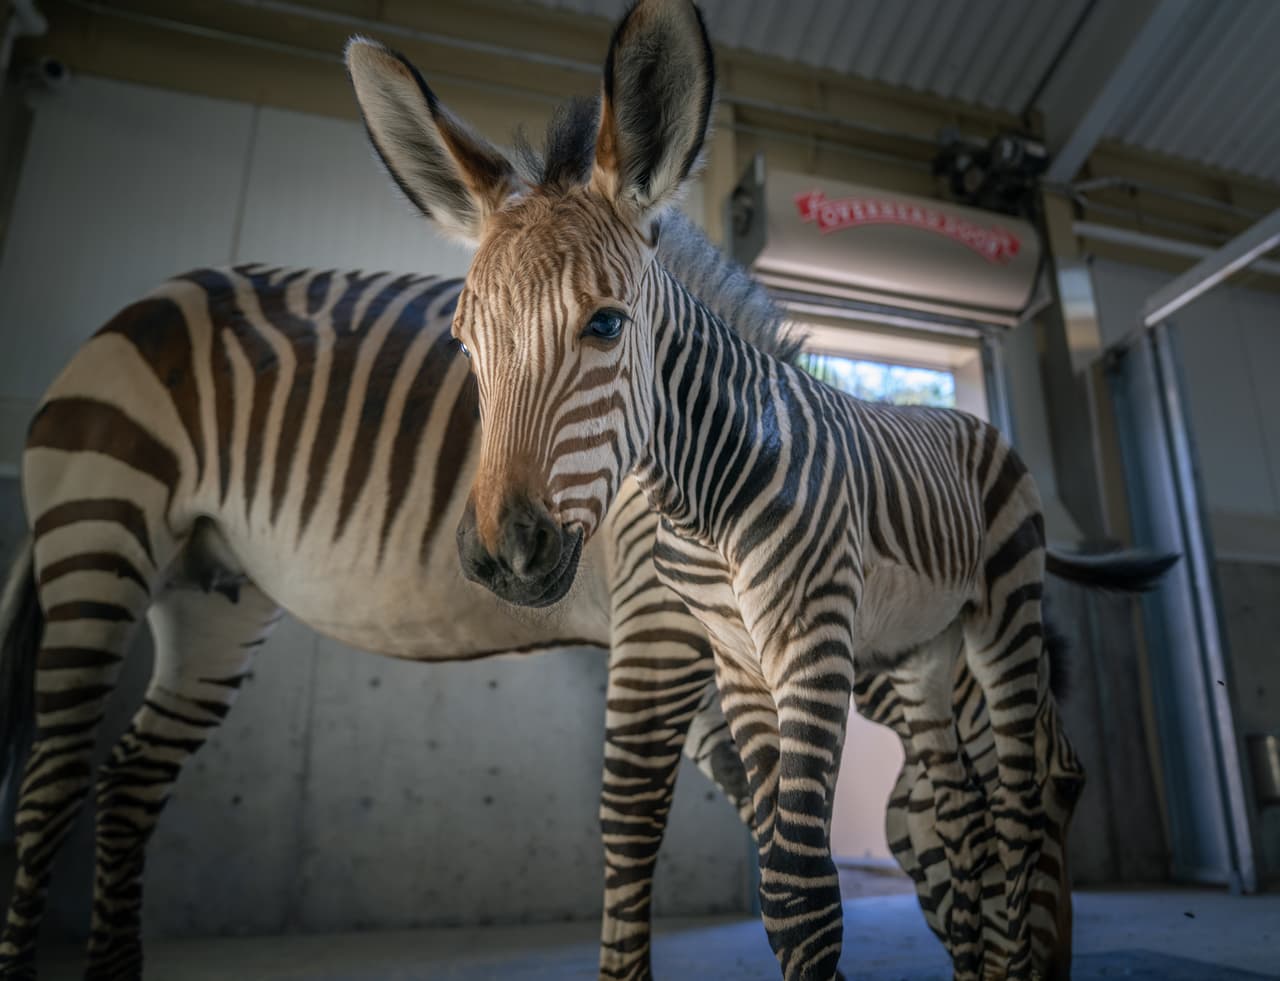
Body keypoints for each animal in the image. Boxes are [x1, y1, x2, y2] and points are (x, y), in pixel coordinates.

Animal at [344, 1, 1175, 977]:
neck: (702, 501)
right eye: (466, 344)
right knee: (961, 805)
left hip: (1003, 615)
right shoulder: (738, 660)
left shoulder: (812, 643)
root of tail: (967, 419)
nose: (505, 554)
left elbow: (800, 889)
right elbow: (780, 879)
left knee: (1024, 786)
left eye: (606, 325)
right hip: (923, 653)